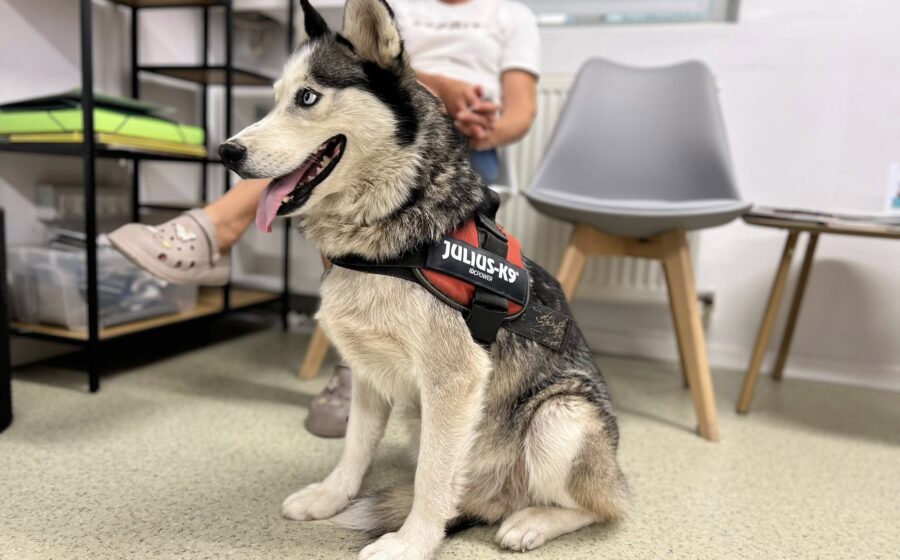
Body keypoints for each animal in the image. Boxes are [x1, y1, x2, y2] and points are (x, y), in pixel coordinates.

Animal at [219, 0, 627, 558]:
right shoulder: (367, 372)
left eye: (307, 97)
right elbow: (354, 448)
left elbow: (432, 478)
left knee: (601, 506)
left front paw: (411, 542)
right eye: (275, 98)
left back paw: (532, 522)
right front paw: (331, 497)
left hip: (560, 416)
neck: (389, 231)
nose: (226, 152)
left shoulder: (453, 380)